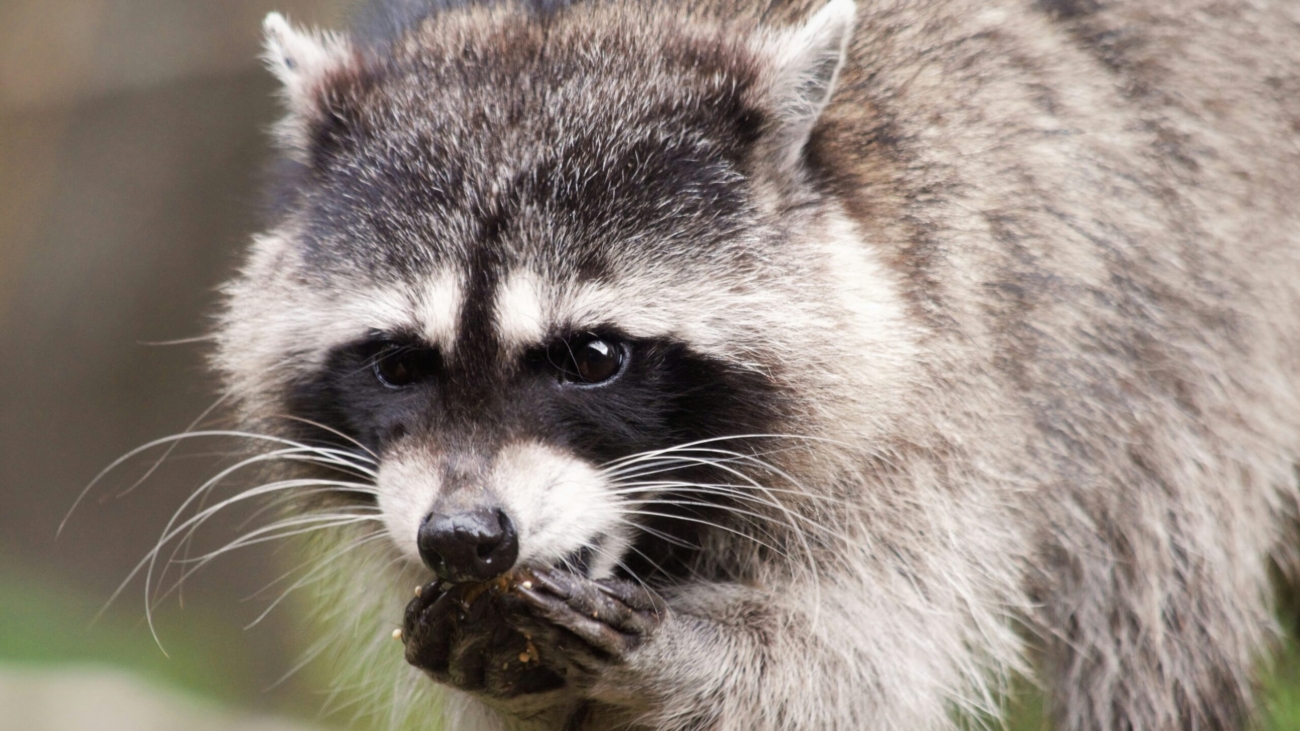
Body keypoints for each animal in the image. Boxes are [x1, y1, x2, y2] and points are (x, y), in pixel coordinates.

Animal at [208, 0, 1300, 723]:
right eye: (398, 361)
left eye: (593, 356)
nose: (465, 538)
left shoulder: (979, 345)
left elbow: (856, 662)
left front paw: (686, 654)